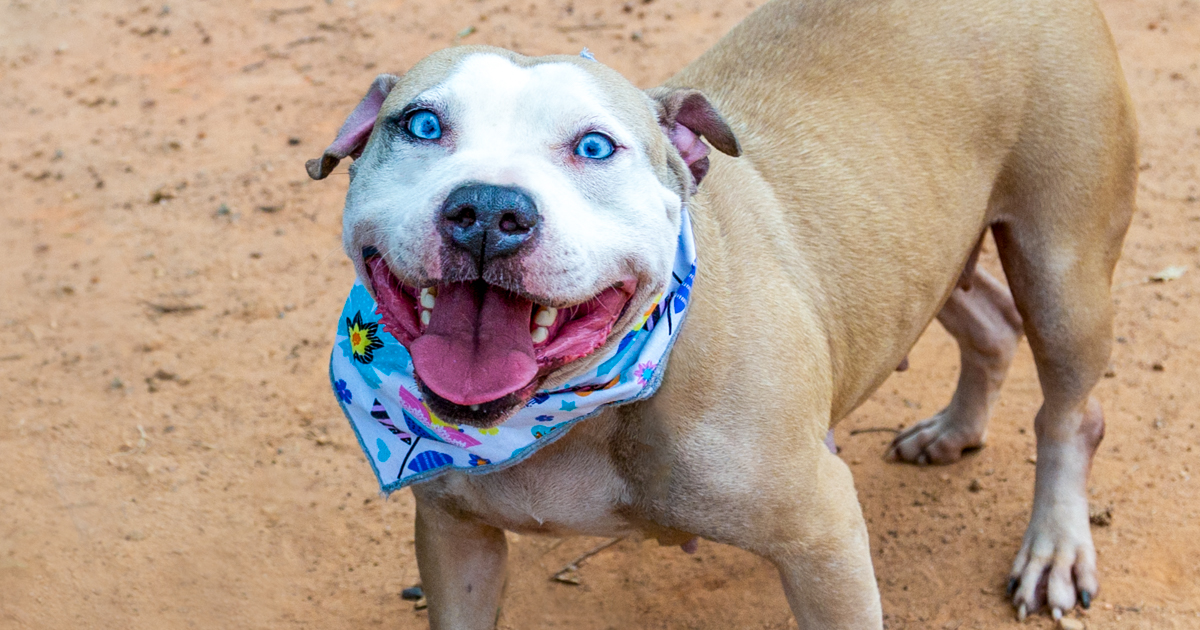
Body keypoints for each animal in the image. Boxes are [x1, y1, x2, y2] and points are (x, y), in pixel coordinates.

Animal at [307, 0, 1132, 619]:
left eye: (595, 146)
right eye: (421, 125)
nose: (486, 210)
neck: (568, 411)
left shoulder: (823, 536)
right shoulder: (456, 539)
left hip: (1060, 270)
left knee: (1073, 413)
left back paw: (1056, 547)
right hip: (922, 254)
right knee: (991, 322)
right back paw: (954, 430)